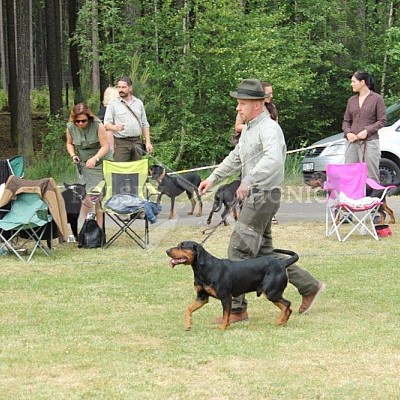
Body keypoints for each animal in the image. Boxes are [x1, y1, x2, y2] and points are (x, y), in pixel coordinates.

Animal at [164, 241, 298, 332]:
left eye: (182, 246)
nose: (167, 251)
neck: (203, 269)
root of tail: (282, 263)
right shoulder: (202, 297)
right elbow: (188, 309)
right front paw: (187, 325)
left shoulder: (225, 297)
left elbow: (225, 314)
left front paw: (222, 327)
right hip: (273, 293)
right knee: (287, 307)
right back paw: (283, 322)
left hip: (271, 292)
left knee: (287, 304)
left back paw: (279, 321)